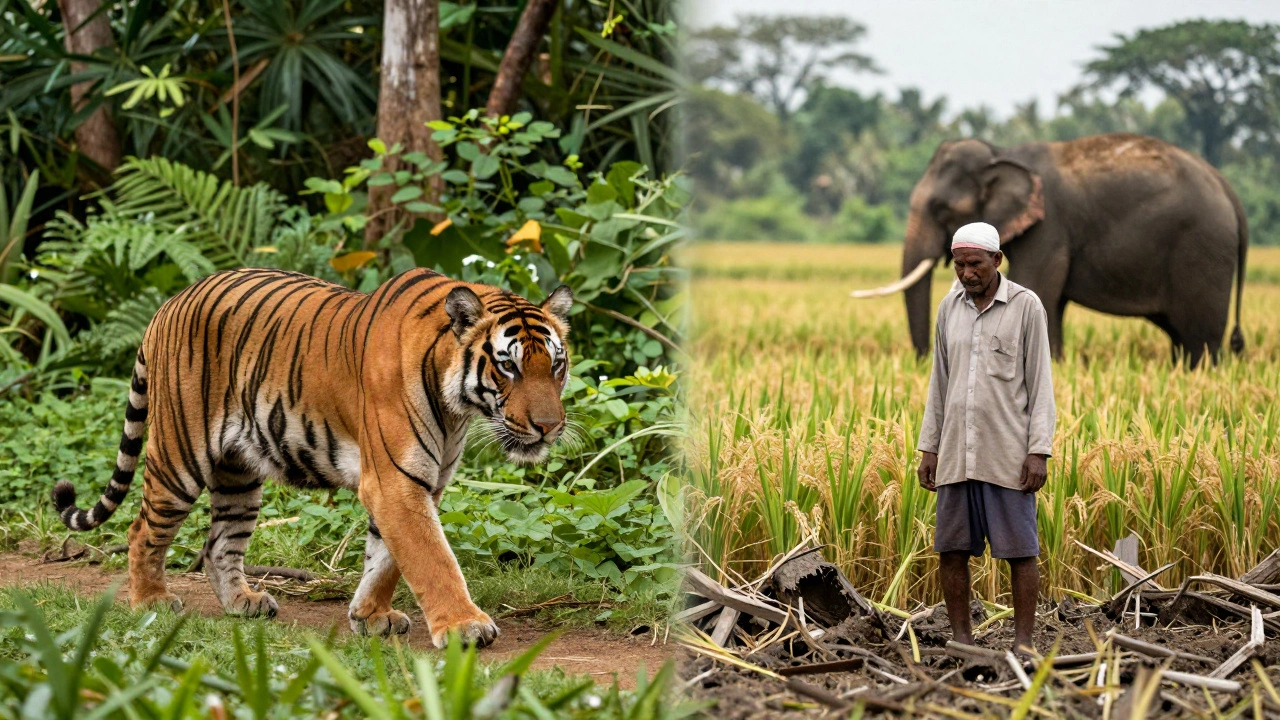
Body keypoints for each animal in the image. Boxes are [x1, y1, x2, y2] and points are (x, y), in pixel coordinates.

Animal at [51, 267, 573, 648]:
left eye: (556, 364)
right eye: (508, 366)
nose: (549, 426)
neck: (455, 406)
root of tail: (169, 303)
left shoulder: (420, 482)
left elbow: (387, 558)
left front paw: (370, 616)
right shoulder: (395, 482)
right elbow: (432, 558)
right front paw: (465, 626)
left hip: (238, 473)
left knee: (218, 544)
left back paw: (243, 602)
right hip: (179, 457)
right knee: (143, 530)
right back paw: (151, 602)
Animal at [854, 133, 1247, 368]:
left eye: (941, 209)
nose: (923, 361)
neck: (1002, 154)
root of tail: (1228, 190)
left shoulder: (1049, 227)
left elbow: (1038, 287)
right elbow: (1048, 302)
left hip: (1203, 251)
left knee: (1199, 336)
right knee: (1181, 334)